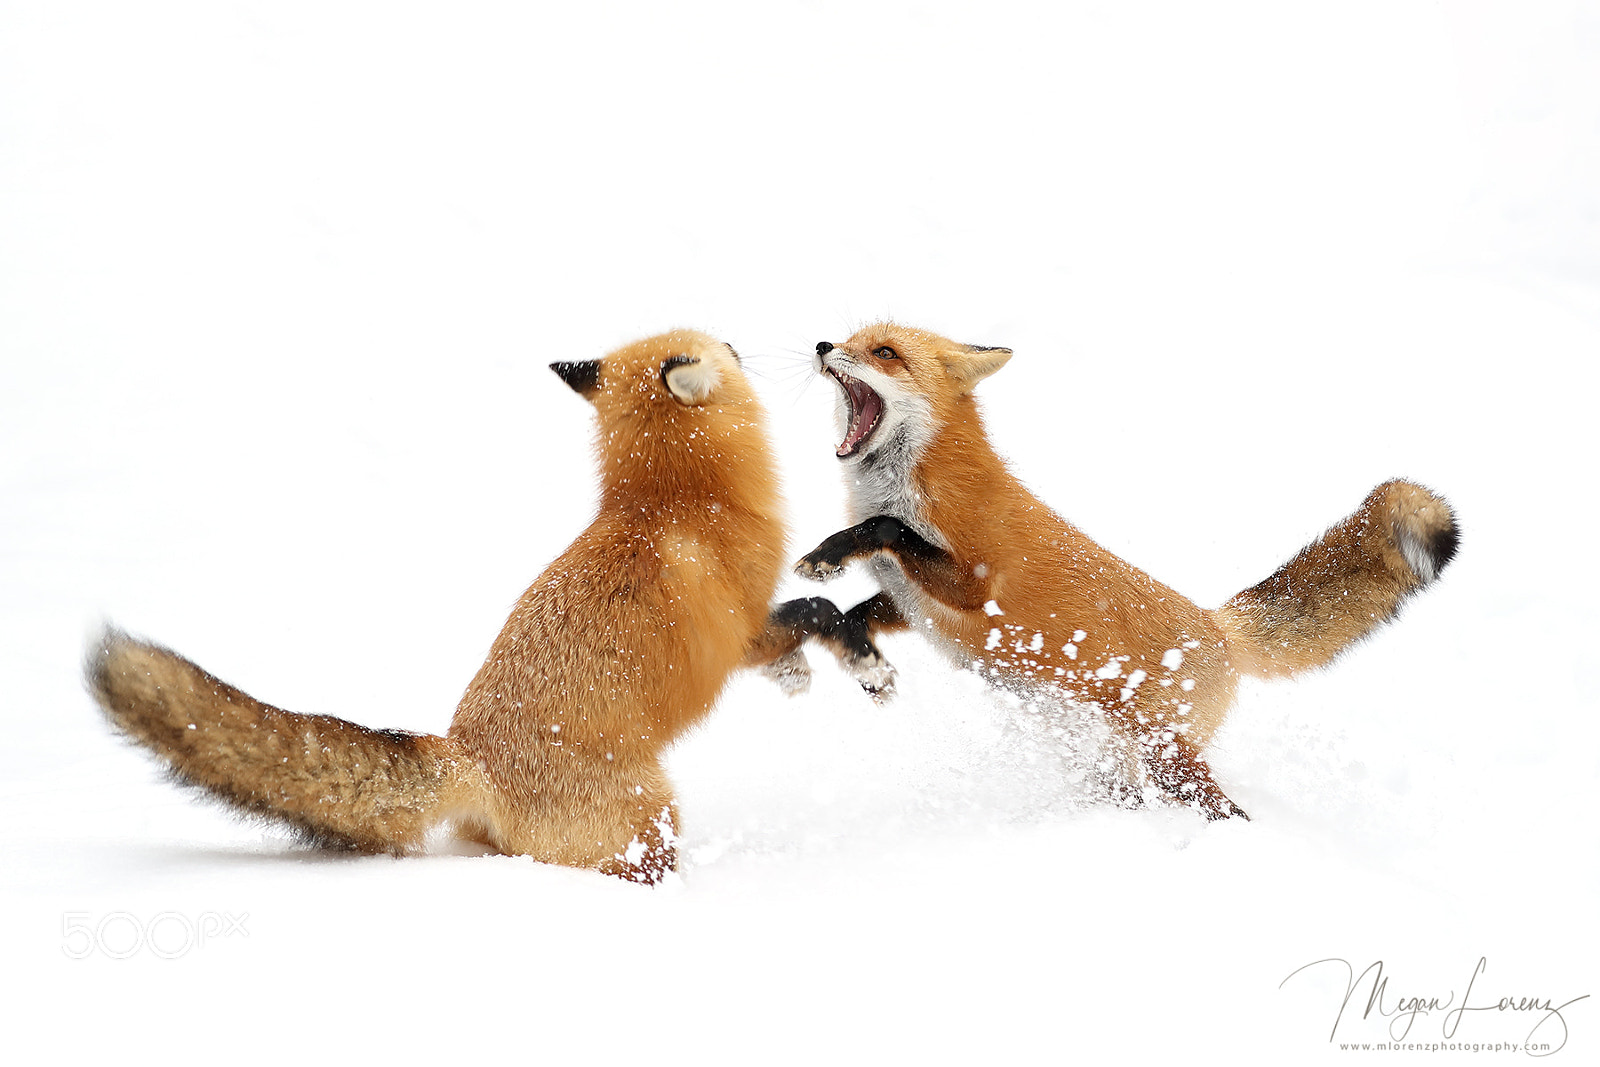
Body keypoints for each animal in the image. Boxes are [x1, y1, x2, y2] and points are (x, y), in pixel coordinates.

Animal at [88, 329, 879, 883]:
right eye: (722, 346)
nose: (748, 342)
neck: (674, 498)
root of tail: (472, 755)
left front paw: (803, 675)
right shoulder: (739, 626)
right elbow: (812, 611)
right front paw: (862, 666)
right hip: (651, 822)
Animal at [794, 321, 1459, 820]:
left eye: (885, 353)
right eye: (852, 337)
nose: (823, 345)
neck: (912, 481)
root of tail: (1220, 628)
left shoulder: (975, 582)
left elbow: (886, 530)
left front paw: (828, 553)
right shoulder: (910, 602)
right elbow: (846, 614)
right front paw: (865, 663)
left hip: (1169, 758)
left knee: (1224, 809)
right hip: (1105, 753)